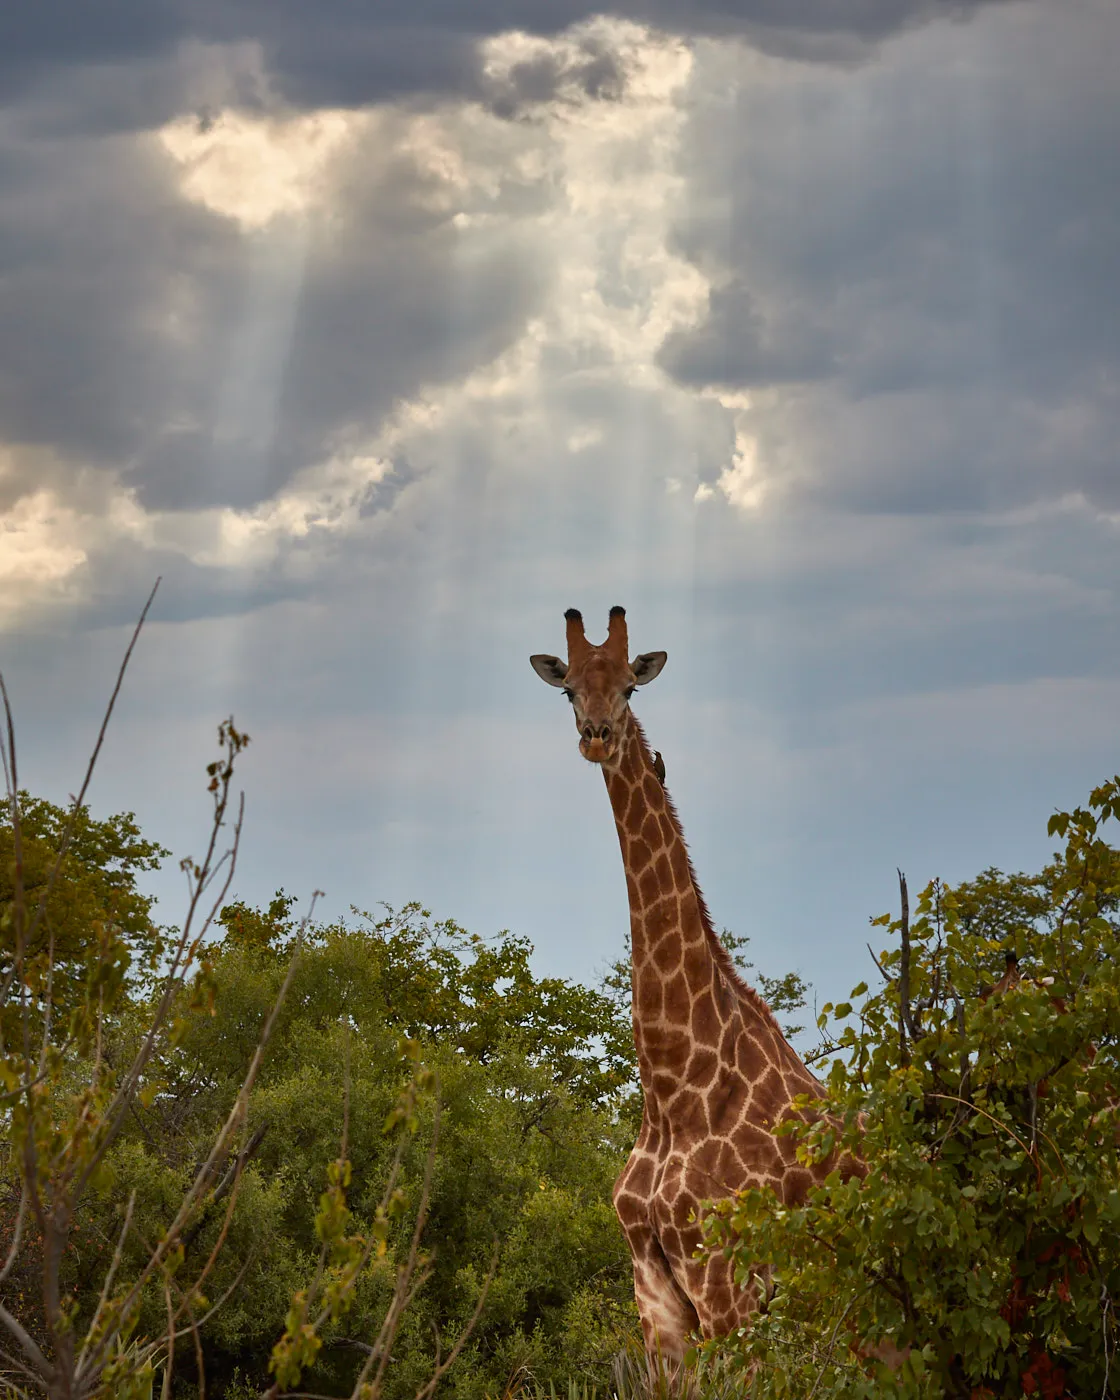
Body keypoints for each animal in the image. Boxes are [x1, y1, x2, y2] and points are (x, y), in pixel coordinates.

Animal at [530, 606, 862, 1362]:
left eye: (630, 688)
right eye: (569, 691)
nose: (597, 736)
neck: (674, 1085)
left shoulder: (724, 1279)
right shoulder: (652, 1289)